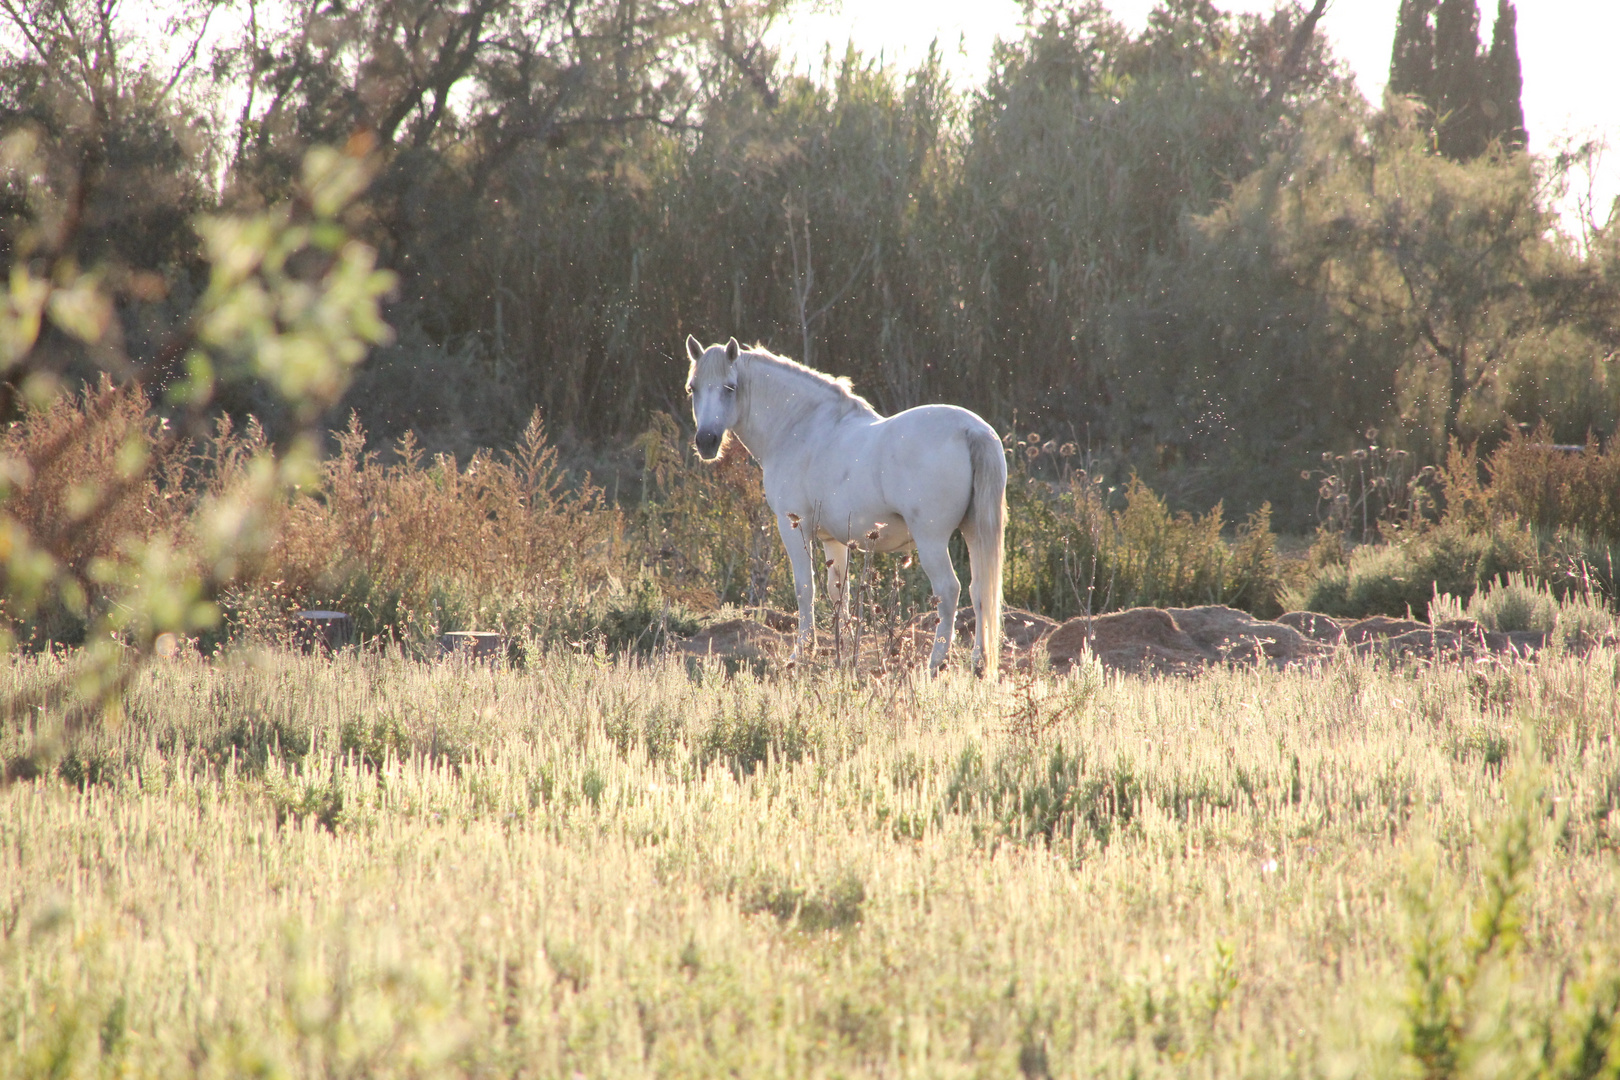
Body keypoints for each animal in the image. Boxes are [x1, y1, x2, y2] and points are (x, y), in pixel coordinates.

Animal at [680, 338, 997, 676]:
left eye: (730, 387)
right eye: (692, 388)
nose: (706, 441)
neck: (800, 428)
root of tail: (971, 430)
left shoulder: (793, 527)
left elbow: (805, 588)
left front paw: (801, 653)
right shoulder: (833, 539)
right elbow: (838, 593)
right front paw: (843, 651)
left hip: (932, 540)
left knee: (949, 591)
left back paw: (935, 664)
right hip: (974, 532)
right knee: (980, 590)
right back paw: (978, 663)